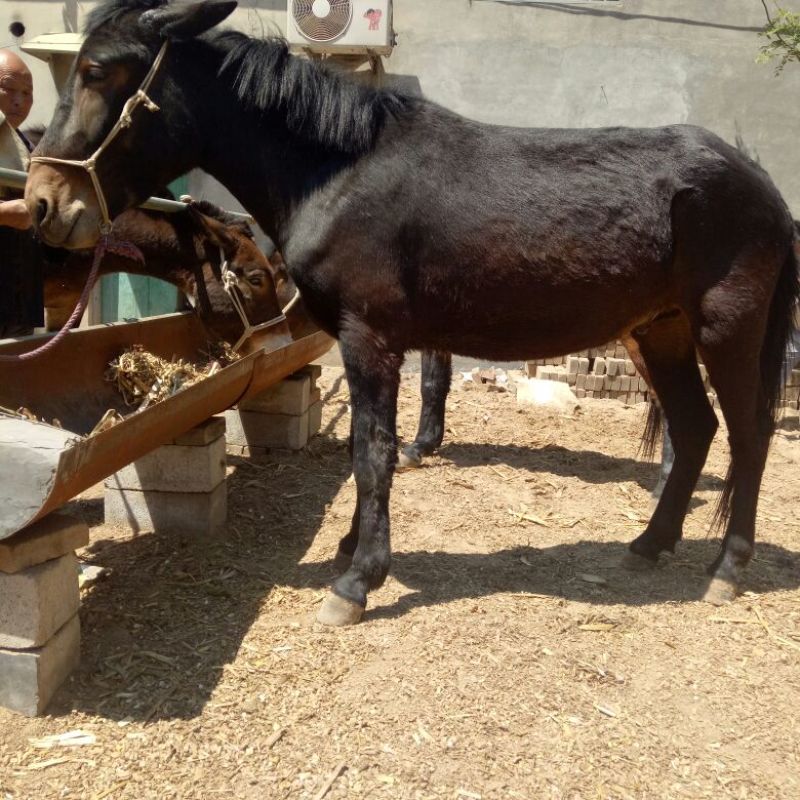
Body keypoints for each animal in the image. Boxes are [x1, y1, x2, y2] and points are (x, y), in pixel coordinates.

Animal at [26, 0, 800, 626]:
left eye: (97, 72)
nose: (41, 202)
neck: (339, 173)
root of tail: (761, 182)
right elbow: (363, 448)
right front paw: (351, 548)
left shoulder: (371, 339)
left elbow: (373, 453)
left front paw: (356, 580)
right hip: (662, 330)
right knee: (696, 429)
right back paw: (649, 544)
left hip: (726, 328)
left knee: (749, 435)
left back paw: (727, 568)